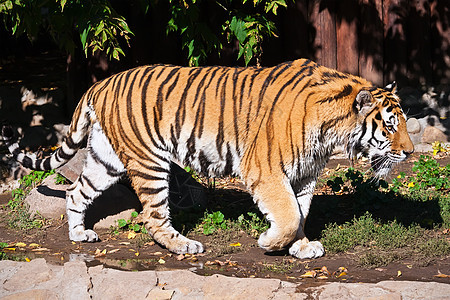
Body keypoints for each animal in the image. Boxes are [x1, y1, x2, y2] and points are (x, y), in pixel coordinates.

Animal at [0, 59, 414, 258]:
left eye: (405, 124)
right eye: (391, 126)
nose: (409, 151)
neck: (333, 131)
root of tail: (100, 82)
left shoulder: (304, 174)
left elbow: (300, 213)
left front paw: (299, 246)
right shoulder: (266, 170)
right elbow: (287, 213)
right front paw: (271, 243)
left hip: (107, 159)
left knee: (76, 192)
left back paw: (79, 234)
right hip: (149, 162)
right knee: (153, 217)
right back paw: (183, 245)